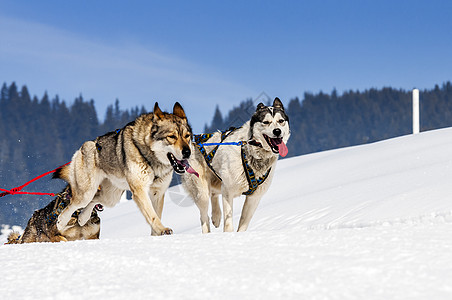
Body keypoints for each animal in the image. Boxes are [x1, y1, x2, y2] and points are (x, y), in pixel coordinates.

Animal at [53, 102, 195, 236]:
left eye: (187, 136)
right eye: (172, 137)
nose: (187, 152)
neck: (150, 158)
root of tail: (84, 146)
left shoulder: (157, 192)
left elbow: (156, 215)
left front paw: (156, 235)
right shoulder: (140, 191)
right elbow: (152, 215)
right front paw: (162, 230)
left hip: (110, 198)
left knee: (94, 199)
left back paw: (82, 218)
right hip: (86, 194)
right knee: (71, 206)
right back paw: (61, 222)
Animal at [183, 97, 292, 233]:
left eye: (281, 121)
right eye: (266, 122)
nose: (277, 131)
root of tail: (192, 144)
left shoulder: (254, 197)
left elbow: (244, 222)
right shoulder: (228, 190)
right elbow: (228, 221)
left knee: (214, 195)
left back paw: (216, 216)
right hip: (201, 192)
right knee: (204, 216)